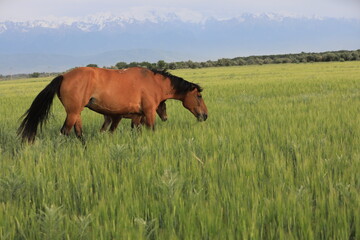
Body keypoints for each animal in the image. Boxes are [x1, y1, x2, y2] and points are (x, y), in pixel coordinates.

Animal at [17, 66, 208, 142]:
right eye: (199, 95)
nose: (205, 115)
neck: (154, 82)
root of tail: (63, 76)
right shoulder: (149, 112)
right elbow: (152, 129)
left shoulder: (137, 115)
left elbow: (136, 131)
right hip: (72, 113)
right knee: (65, 132)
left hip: (76, 113)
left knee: (79, 133)